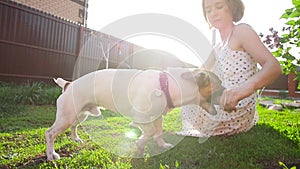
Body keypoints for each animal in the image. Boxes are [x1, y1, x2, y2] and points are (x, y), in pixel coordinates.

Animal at [45, 68, 224, 160]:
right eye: (220, 86)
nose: (227, 91)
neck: (166, 86)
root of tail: (68, 84)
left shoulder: (158, 117)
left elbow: (158, 132)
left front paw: (161, 145)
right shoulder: (140, 118)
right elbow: (150, 131)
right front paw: (139, 144)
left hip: (80, 114)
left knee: (74, 126)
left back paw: (75, 138)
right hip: (67, 117)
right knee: (50, 133)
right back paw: (51, 154)